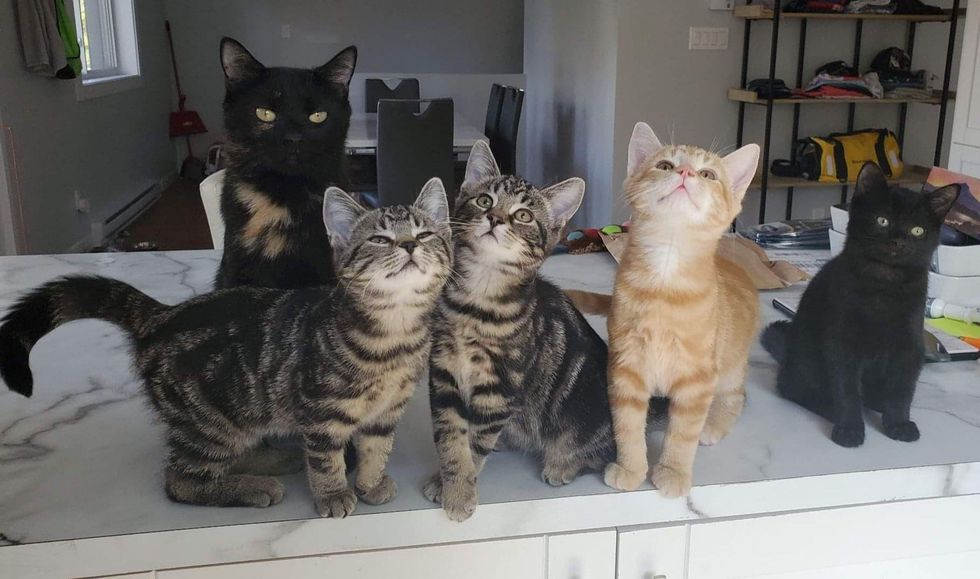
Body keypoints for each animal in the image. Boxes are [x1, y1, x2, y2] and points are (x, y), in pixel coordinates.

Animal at [0, 180, 452, 516]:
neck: (393, 335)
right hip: (206, 420)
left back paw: (274, 462)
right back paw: (250, 488)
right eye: (380, 239)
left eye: (425, 233)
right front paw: (333, 494)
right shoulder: (319, 412)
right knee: (181, 481)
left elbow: (376, 448)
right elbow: (326, 459)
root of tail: (160, 316)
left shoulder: (385, 414)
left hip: (239, 412)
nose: (409, 245)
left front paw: (371, 483)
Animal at [424, 143, 608, 524]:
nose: (495, 218)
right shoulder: (443, 377)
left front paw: (460, 493)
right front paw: (447, 479)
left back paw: (563, 465)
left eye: (523, 215)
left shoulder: (499, 390)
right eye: (484, 201)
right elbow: (451, 438)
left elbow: (474, 445)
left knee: (600, 452)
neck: (476, 304)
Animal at [596, 122, 764, 498]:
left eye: (708, 174)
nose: (686, 172)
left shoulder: (698, 380)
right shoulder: (625, 369)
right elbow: (626, 424)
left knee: (737, 396)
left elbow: (683, 432)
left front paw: (673, 471)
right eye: (665, 166)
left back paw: (714, 425)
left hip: (730, 368)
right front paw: (631, 468)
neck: (664, 283)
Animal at [760, 163, 960, 448]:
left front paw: (899, 423)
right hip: (805, 362)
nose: (898, 242)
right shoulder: (841, 343)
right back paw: (827, 407)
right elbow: (847, 391)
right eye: (882, 220)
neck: (884, 285)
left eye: (917, 230)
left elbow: (901, 390)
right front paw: (849, 428)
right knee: (793, 388)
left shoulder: (909, 345)